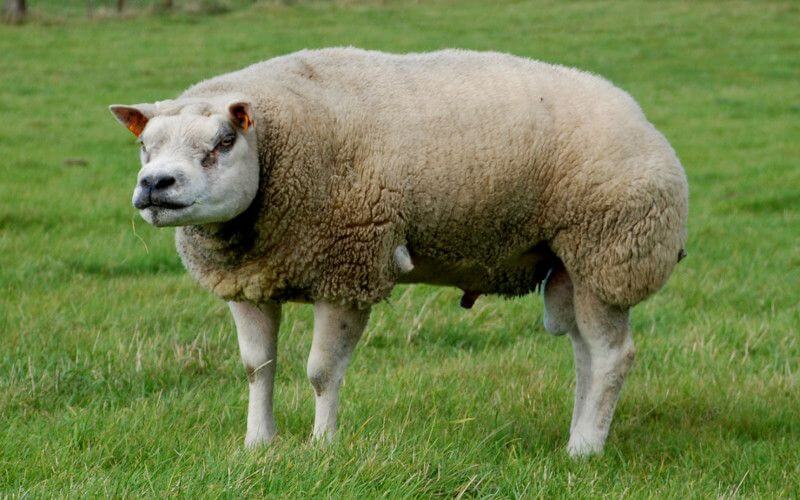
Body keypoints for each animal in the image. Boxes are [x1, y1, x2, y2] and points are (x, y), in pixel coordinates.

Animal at [109, 47, 688, 457]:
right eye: (144, 145)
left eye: (224, 142)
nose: (155, 184)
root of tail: (644, 121)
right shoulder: (251, 282)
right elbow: (258, 368)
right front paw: (258, 444)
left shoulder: (347, 267)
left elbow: (322, 372)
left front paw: (322, 446)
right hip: (570, 264)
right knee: (585, 354)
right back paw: (579, 437)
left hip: (609, 253)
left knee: (611, 356)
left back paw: (584, 450)